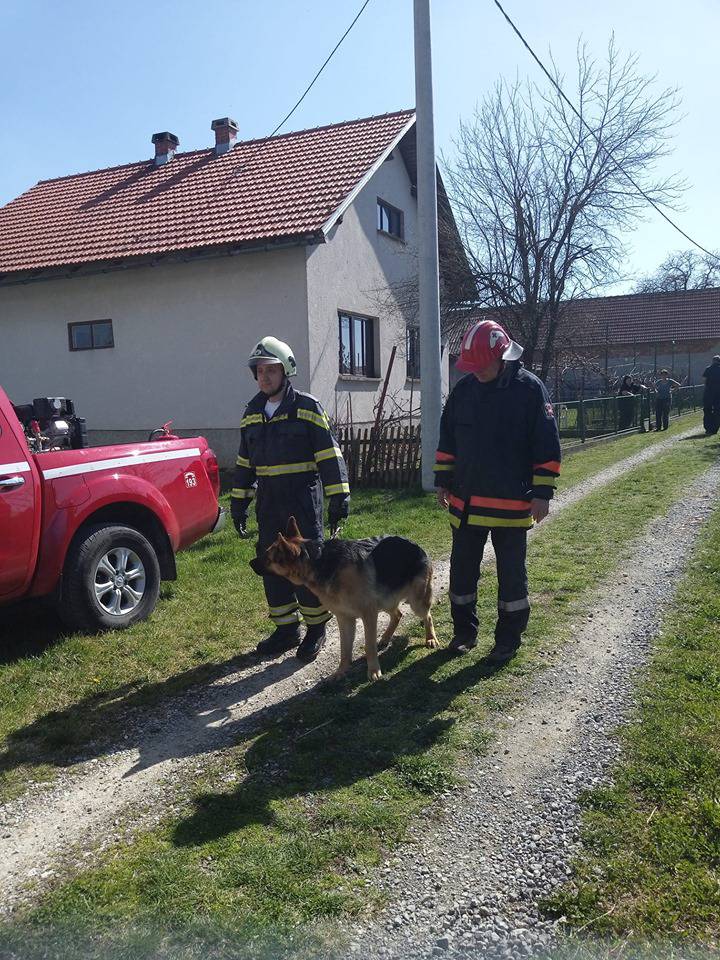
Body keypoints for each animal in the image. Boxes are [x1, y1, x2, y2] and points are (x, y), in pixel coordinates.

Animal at [248, 516, 438, 684]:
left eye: (268, 557)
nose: (250, 563)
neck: (319, 562)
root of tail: (414, 544)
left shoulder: (368, 615)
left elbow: (368, 646)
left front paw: (373, 671)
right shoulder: (345, 618)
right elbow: (344, 649)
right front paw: (340, 672)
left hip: (415, 602)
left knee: (427, 616)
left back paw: (430, 639)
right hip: (385, 600)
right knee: (397, 614)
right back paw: (385, 638)